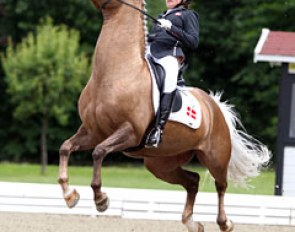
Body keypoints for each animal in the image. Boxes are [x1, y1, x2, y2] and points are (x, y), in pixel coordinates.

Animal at [56, 0, 272, 231]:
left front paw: (101, 200)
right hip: (161, 163)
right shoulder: (93, 131)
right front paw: (69, 195)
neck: (114, 74)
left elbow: (98, 152)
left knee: (221, 185)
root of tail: (214, 106)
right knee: (193, 180)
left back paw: (224, 223)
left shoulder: (129, 132)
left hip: (215, 157)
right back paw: (192, 223)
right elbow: (65, 148)